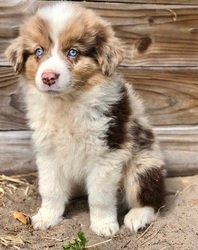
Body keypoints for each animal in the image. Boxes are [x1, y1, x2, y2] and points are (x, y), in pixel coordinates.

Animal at [5, 2, 165, 236]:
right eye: (38, 51)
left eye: (73, 52)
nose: (48, 77)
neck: (67, 102)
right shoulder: (48, 151)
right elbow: (51, 188)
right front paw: (46, 217)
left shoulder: (106, 151)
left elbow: (100, 196)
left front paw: (104, 225)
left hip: (143, 164)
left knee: (152, 199)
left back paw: (137, 217)